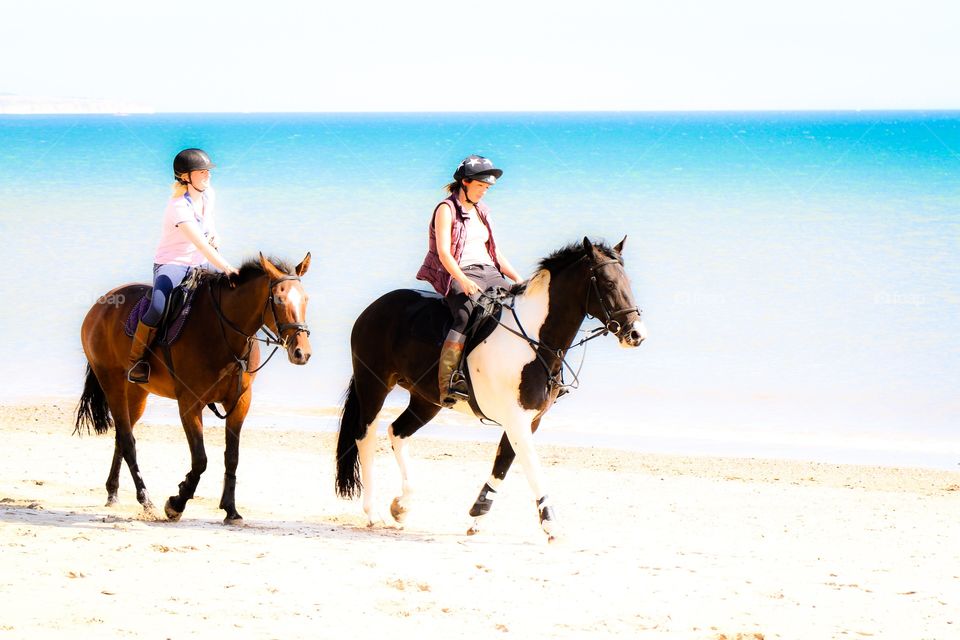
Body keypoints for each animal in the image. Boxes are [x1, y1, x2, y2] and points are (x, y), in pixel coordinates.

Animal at [78, 252, 314, 524]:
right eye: (278, 299)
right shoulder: (190, 403)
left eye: (305, 299)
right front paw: (176, 502)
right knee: (127, 440)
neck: (224, 334)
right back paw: (146, 501)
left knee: (122, 436)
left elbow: (232, 457)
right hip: (112, 383)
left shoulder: (240, 402)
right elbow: (200, 459)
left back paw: (113, 493)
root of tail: (101, 304)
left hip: (137, 393)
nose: (302, 353)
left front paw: (231, 510)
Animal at [336, 236, 644, 540]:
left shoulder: (528, 419)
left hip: (427, 400)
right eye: (608, 283)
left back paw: (402, 505)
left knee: (397, 432)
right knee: (365, 437)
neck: (533, 340)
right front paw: (551, 523)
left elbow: (503, 464)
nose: (636, 334)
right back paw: (373, 512)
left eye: (626, 281)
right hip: (373, 384)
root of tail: (375, 307)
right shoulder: (516, 419)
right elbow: (530, 464)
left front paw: (477, 515)